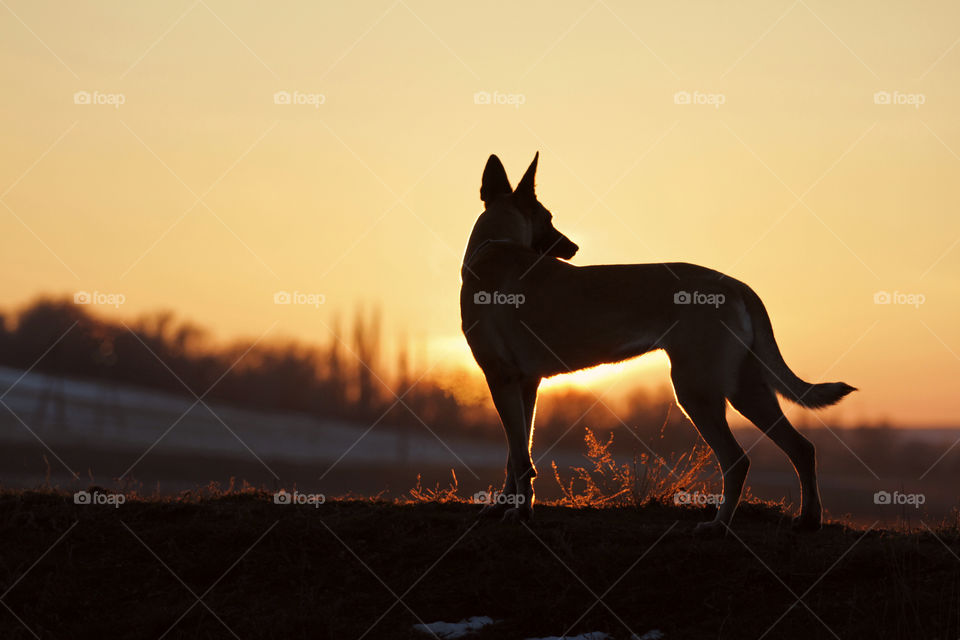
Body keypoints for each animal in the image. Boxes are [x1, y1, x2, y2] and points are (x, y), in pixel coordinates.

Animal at [458, 152, 856, 532]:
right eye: (549, 217)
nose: (573, 247)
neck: (496, 247)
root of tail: (737, 285)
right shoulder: (526, 383)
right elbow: (516, 454)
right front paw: (506, 506)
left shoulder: (500, 377)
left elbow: (519, 458)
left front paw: (518, 513)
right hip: (746, 388)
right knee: (802, 448)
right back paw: (808, 519)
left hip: (696, 390)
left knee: (738, 460)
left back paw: (718, 525)